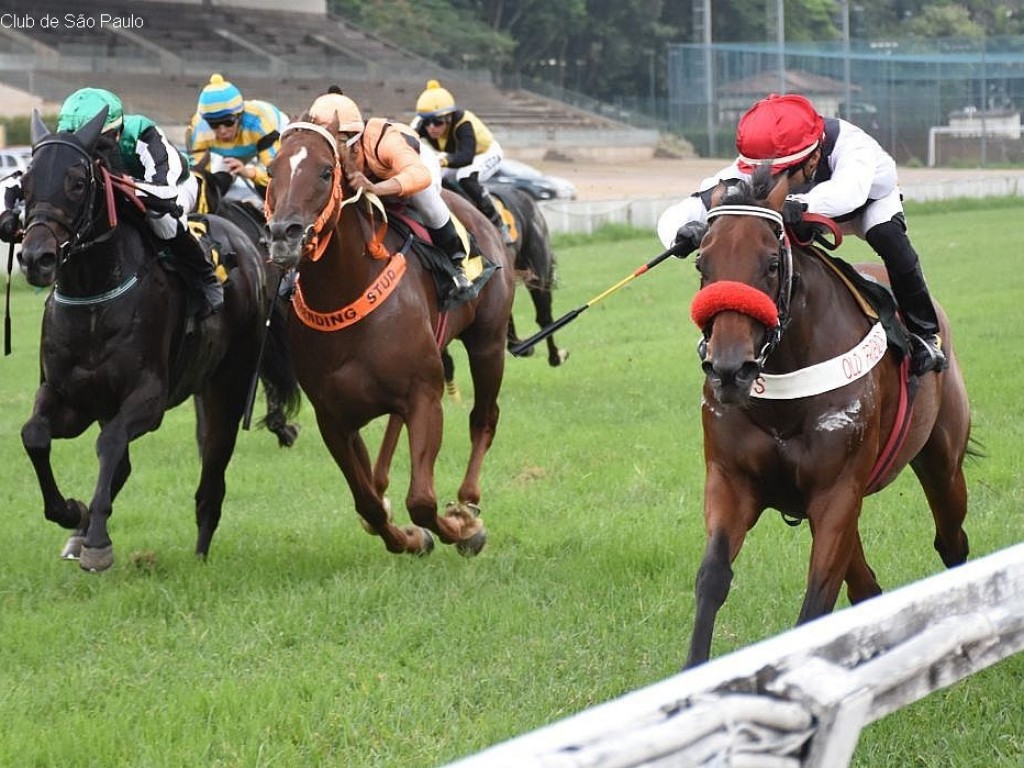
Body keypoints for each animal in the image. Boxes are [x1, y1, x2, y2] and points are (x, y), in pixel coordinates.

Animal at [268, 117, 516, 557]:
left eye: (326, 172)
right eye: (271, 171)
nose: (283, 234)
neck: (345, 293)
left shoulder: (425, 396)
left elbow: (421, 500)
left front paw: (460, 528)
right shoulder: (333, 418)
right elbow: (367, 502)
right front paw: (409, 537)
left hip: (487, 343)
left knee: (484, 418)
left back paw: (468, 504)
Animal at [684, 166, 970, 667]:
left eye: (771, 263)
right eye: (703, 265)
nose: (729, 370)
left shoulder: (837, 492)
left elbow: (817, 602)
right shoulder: (730, 481)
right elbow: (713, 577)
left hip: (941, 461)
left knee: (951, 541)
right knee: (865, 585)